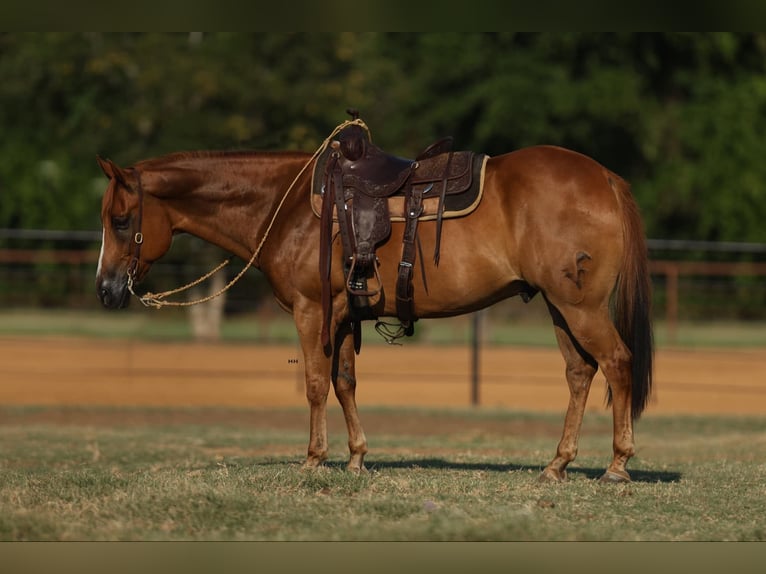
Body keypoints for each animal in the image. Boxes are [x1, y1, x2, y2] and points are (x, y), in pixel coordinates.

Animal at [94, 124, 656, 484]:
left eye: (120, 220)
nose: (105, 289)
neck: (288, 206)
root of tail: (604, 177)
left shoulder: (312, 311)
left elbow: (315, 384)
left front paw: (314, 459)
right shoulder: (344, 315)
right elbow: (344, 382)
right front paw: (356, 457)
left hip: (581, 308)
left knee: (617, 362)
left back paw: (617, 466)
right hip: (561, 308)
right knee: (580, 374)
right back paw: (557, 465)